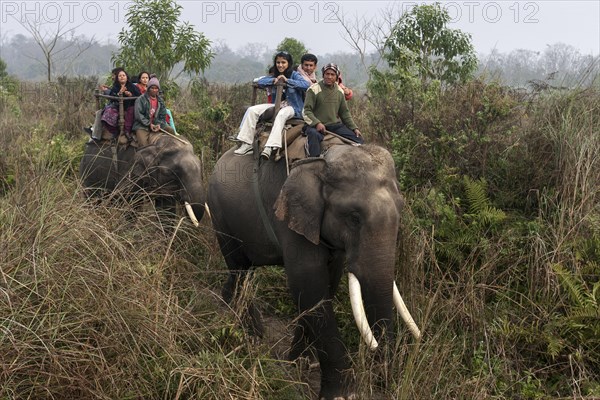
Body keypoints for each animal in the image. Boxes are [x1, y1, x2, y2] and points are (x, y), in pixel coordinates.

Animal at [209, 144, 420, 400]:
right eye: (354, 218)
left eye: (401, 210)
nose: (383, 381)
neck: (323, 159)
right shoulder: (290, 218)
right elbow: (308, 284)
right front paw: (341, 395)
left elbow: (328, 282)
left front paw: (302, 362)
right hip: (220, 214)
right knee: (239, 267)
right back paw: (253, 335)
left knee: (242, 270)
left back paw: (229, 304)